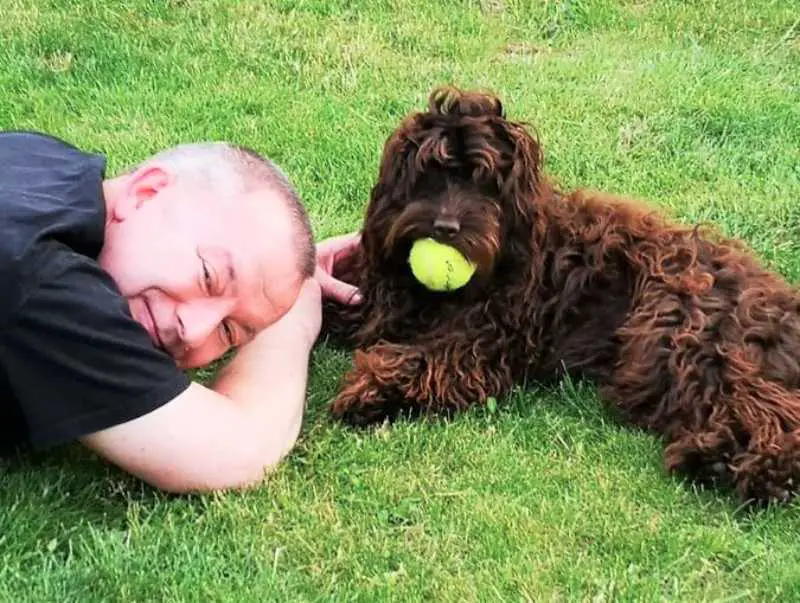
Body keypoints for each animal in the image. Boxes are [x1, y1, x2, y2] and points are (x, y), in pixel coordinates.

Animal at [322, 87, 800, 508]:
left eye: (486, 184)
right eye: (430, 174)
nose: (445, 228)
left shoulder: (489, 339)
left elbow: (428, 359)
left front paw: (371, 388)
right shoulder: (376, 296)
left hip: (685, 339)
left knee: (765, 404)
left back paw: (762, 469)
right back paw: (715, 458)